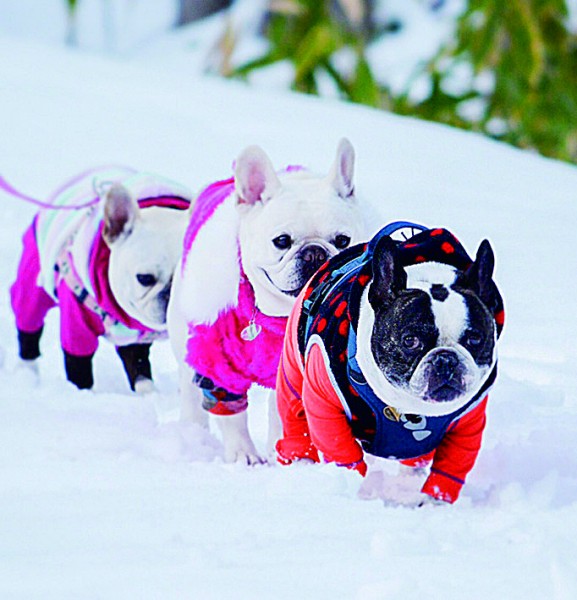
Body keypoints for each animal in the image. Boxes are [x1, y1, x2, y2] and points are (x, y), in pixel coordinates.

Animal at [276, 223, 504, 504]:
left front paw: (434, 504)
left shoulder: (467, 426)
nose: (445, 359)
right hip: (293, 378)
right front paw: (355, 494)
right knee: (295, 420)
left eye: (475, 339)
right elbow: (343, 454)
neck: (408, 409)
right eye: (410, 340)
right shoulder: (325, 407)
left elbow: (452, 466)